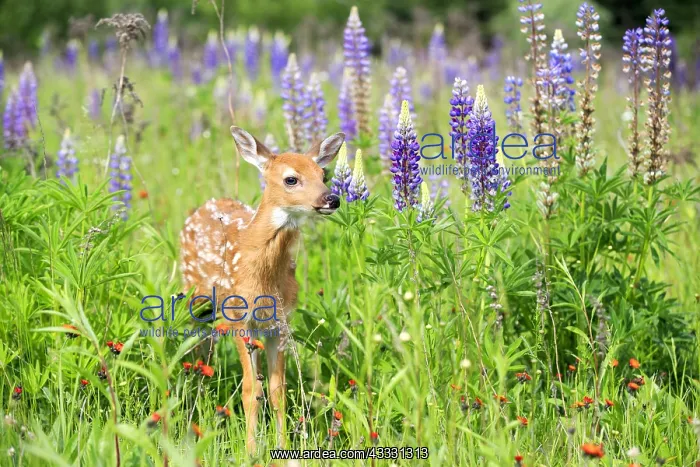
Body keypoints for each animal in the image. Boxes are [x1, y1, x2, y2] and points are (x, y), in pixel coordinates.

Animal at [179, 126, 345, 453]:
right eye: (291, 179)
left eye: (324, 174)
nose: (331, 199)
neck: (262, 276)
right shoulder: (238, 318)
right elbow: (250, 389)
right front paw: (251, 451)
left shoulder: (279, 323)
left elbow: (277, 389)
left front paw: (282, 447)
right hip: (194, 297)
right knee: (197, 348)